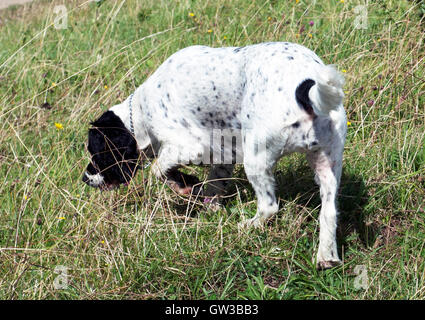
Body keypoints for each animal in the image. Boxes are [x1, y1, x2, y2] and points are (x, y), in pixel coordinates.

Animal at [82, 41, 344, 268]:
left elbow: (159, 169)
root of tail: (304, 91)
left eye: (97, 154)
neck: (140, 111)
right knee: (329, 213)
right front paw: (209, 207)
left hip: (256, 160)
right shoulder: (223, 157)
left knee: (269, 206)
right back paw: (326, 256)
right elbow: (213, 187)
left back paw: (247, 225)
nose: (85, 178)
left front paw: (184, 185)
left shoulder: (190, 146)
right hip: (327, 166)